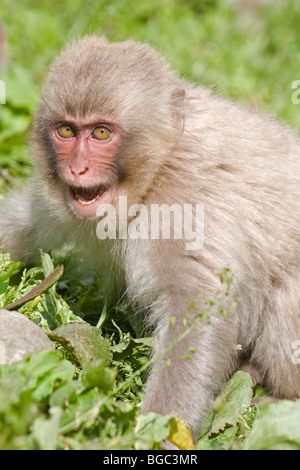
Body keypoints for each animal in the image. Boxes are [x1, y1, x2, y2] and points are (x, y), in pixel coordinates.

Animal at [0, 35, 300, 440]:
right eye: (66, 131)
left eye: (101, 133)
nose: (77, 168)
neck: (158, 166)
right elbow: (23, 223)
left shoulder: (183, 204)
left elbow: (196, 303)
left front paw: (158, 428)